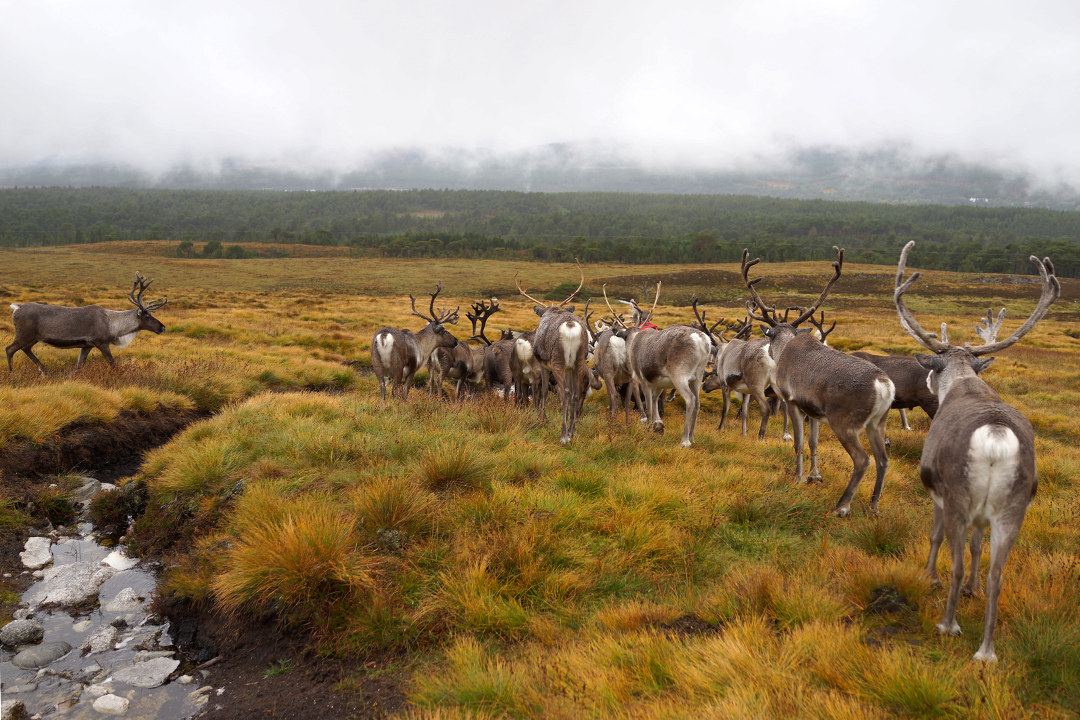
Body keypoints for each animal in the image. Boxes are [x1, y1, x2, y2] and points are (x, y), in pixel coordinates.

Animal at [7, 271, 167, 373]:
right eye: (147, 316)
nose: (163, 327)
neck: (114, 324)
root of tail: (16, 308)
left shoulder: (87, 345)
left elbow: (79, 367)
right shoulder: (101, 342)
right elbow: (113, 363)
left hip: (34, 338)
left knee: (25, 349)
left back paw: (43, 370)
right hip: (23, 335)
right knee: (9, 349)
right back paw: (11, 373)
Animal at [515, 263, 590, 445]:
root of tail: (570, 326)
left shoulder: (542, 364)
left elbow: (542, 392)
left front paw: (542, 418)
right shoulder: (570, 368)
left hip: (557, 362)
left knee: (565, 393)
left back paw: (564, 436)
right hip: (578, 361)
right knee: (575, 394)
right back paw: (572, 432)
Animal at [616, 283, 713, 448]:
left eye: (625, 337)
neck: (634, 339)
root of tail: (702, 340)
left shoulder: (643, 379)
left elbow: (649, 406)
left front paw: (649, 428)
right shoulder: (660, 382)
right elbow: (656, 399)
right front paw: (657, 424)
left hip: (679, 375)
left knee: (690, 400)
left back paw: (685, 441)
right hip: (698, 376)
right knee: (698, 402)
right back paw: (692, 436)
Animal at [743, 247, 895, 517]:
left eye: (769, 338)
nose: (768, 351)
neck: (786, 348)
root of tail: (884, 385)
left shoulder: (792, 401)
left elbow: (799, 443)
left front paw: (799, 477)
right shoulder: (813, 412)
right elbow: (814, 443)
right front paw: (815, 475)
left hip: (844, 422)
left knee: (863, 460)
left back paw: (842, 506)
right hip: (878, 423)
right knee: (883, 460)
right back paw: (874, 506)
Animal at [893, 241, 1059, 662]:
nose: (929, 381)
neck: (964, 381)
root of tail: (996, 438)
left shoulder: (936, 494)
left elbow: (936, 538)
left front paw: (929, 577)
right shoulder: (986, 517)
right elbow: (976, 547)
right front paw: (972, 589)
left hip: (958, 499)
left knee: (952, 557)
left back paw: (947, 624)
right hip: (1014, 510)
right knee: (997, 575)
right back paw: (986, 650)